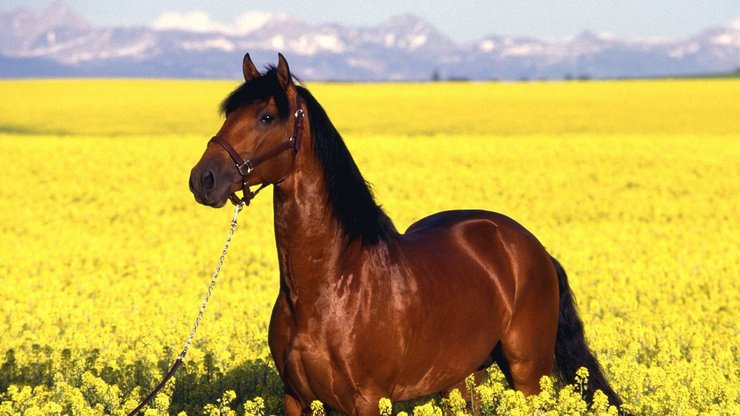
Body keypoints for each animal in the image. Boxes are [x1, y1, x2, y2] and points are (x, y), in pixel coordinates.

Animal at [188, 53, 620, 414]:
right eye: (229, 114)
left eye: (266, 117)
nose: (202, 179)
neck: (329, 286)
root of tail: (533, 248)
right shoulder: (295, 398)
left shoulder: (366, 400)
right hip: (461, 378)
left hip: (528, 374)